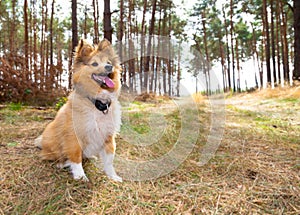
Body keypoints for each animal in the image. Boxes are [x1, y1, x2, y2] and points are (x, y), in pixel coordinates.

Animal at [35, 39, 122, 181]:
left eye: (109, 62)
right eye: (94, 64)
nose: (109, 67)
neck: (96, 103)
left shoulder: (108, 136)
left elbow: (109, 160)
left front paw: (112, 176)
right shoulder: (74, 136)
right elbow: (75, 157)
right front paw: (80, 176)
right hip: (52, 139)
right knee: (49, 155)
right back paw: (62, 163)